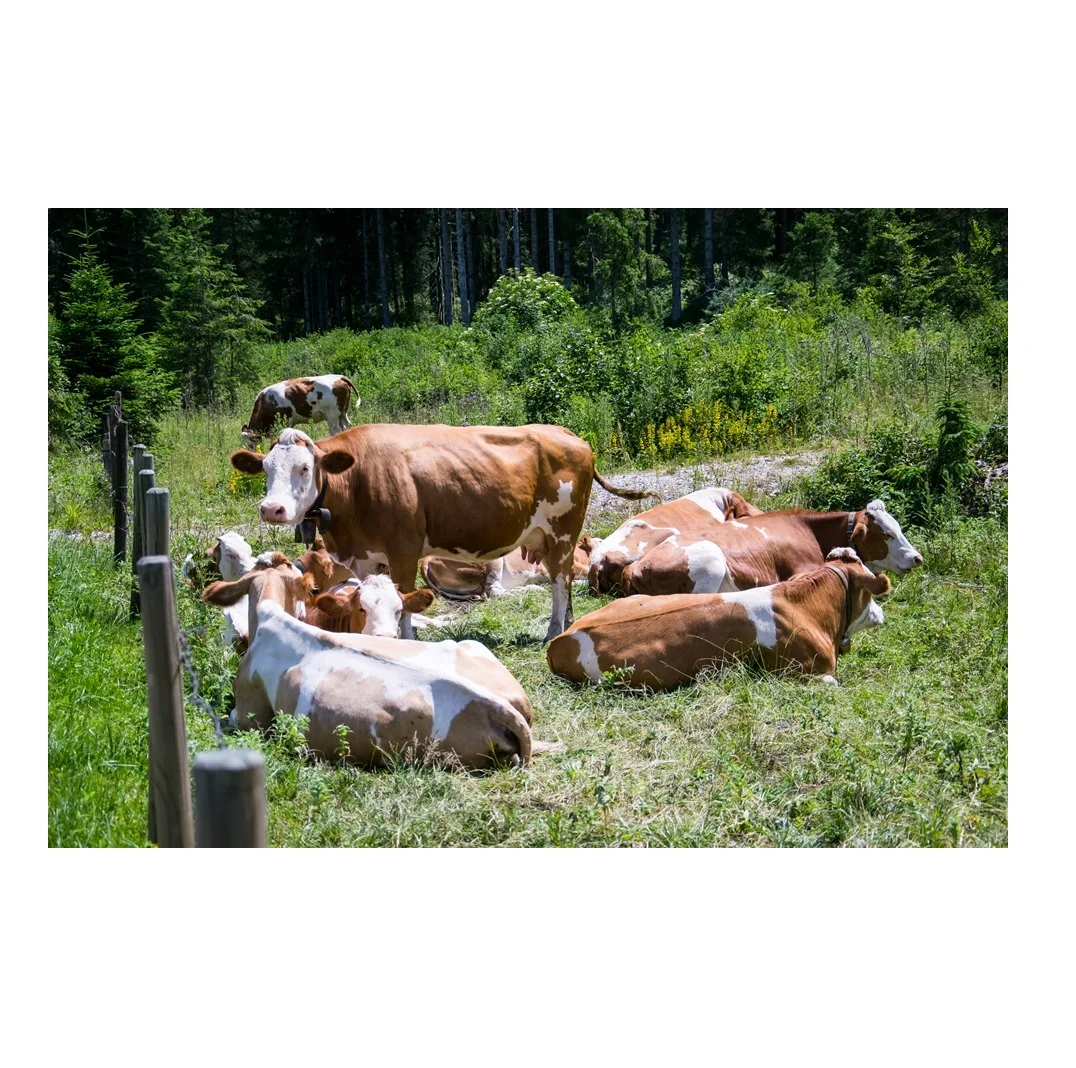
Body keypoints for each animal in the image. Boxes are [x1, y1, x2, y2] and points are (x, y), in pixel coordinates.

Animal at [621, 499, 923, 597]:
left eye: (899, 528)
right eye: (887, 534)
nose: (917, 558)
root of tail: (637, 566)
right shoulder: (801, 570)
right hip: (711, 559)